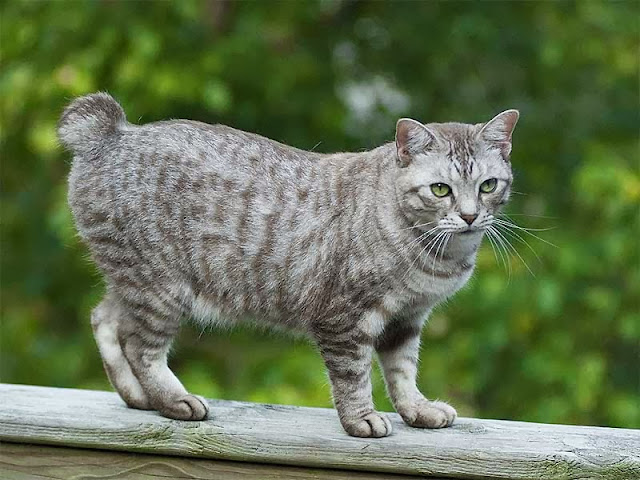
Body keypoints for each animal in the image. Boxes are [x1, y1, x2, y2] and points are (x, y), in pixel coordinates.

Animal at [58, 91, 520, 438]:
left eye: (488, 186)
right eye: (440, 189)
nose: (469, 215)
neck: (438, 255)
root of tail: (113, 133)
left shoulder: (406, 319)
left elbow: (402, 373)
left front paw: (418, 410)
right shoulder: (344, 319)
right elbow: (353, 376)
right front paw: (362, 419)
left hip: (133, 282)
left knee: (104, 319)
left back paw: (138, 397)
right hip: (160, 288)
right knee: (140, 346)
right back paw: (173, 400)